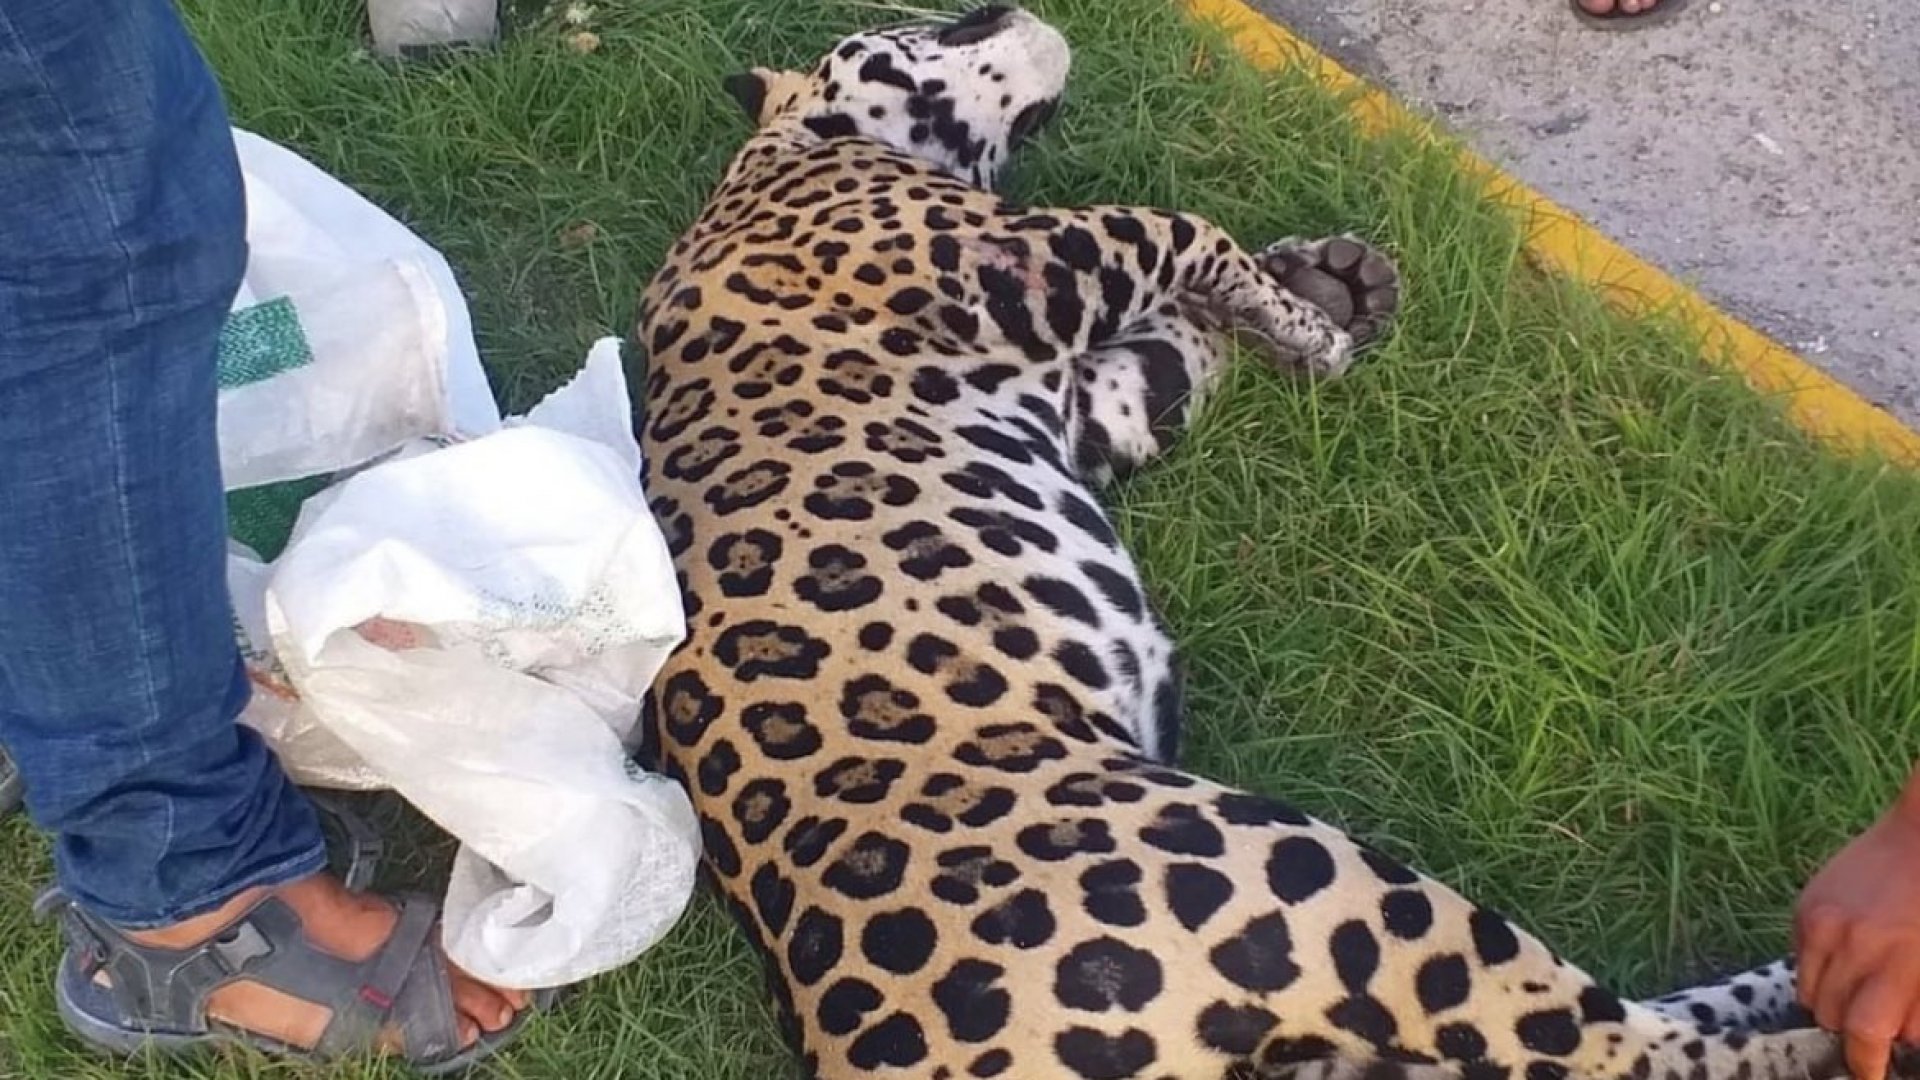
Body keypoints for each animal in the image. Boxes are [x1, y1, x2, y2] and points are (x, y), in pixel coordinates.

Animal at [632, 6, 1910, 1079]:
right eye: (923, 28)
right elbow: (1180, 229)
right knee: (1607, 1049)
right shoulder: (1019, 269)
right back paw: (1822, 1032)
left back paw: (1806, 986)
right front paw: (1309, 320)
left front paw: (1320, 293)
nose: (1004, 7)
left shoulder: (1092, 392)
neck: (786, 155)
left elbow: (1184, 335)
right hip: (1307, 873)